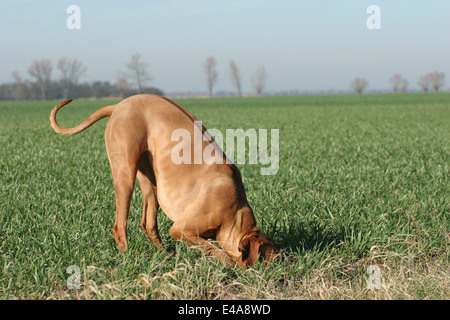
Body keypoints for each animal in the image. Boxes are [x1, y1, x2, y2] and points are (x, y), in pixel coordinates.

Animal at [49, 94, 274, 266]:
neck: (235, 211)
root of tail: (120, 105)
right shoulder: (181, 229)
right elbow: (214, 249)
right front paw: (226, 264)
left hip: (151, 182)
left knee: (147, 222)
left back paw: (163, 255)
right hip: (125, 173)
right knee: (120, 225)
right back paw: (128, 258)